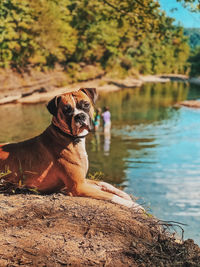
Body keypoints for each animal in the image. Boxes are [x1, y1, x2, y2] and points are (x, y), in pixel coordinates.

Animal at [0, 89, 144, 213]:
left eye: (86, 105)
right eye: (66, 110)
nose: (79, 116)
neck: (69, 138)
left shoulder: (82, 180)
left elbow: (105, 184)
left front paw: (124, 194)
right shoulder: (78, 186)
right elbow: (110, 196)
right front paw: (134, 205)